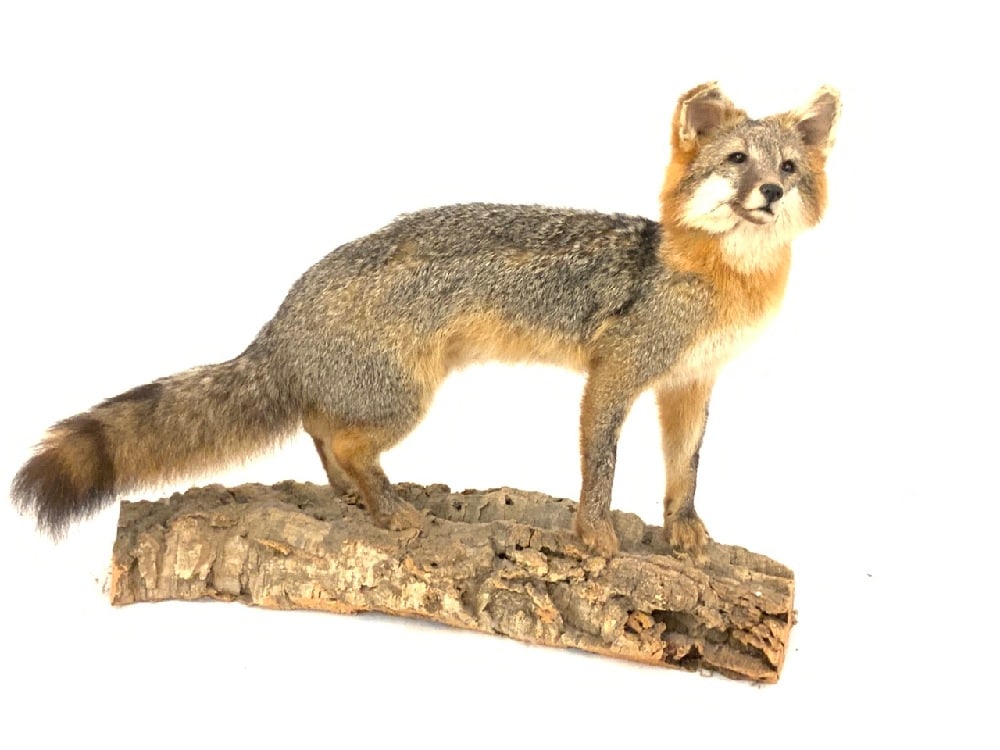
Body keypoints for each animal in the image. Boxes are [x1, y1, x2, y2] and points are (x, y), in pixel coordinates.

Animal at [12, 82, 839, 557]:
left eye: (788, 169)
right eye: (735, 161)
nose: (769, 192)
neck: (720, 278)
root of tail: (282, 316)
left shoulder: (692, 382)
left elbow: (684, 469)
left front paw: (685, 531)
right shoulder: (617, 373)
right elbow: (600, 466)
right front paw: (595, 534)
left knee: (320, 427)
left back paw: (360, 496)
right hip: (403, 401)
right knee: (337, 433)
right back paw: (386, 507)